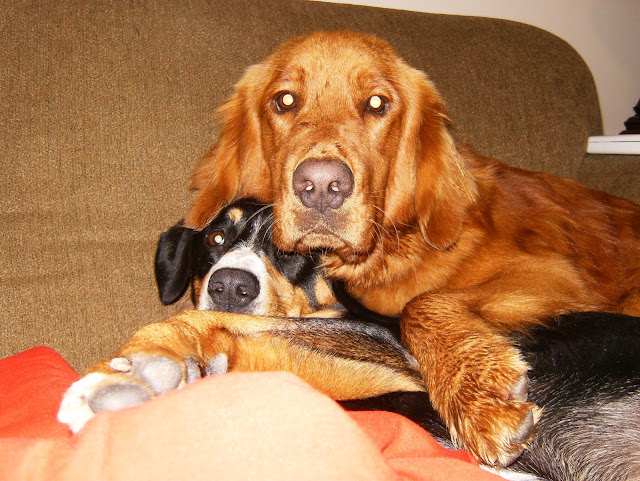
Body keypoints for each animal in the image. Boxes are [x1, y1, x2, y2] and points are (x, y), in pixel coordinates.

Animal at [59, 200, 640, 481]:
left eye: (293, 250)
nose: (229, 285)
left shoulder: (396, 355)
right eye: (216, 239)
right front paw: (149, 373)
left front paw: (132, 372)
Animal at [181, 30, 640, 465]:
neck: (388, 253)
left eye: (377, 104)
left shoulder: (551, 275)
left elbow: (421, 304)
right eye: (285, 100)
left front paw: (478, 394)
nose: (322, 186)